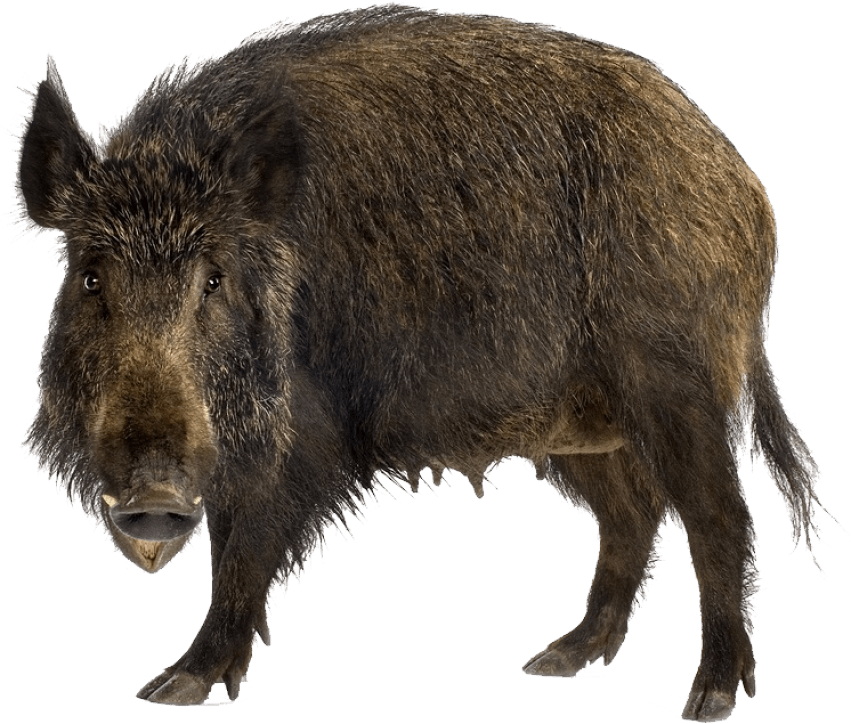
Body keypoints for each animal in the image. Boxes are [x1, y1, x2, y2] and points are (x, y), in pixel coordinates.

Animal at [11, 4, 843, 721]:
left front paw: (172, 689)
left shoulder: (301, 436)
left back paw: (708, 698)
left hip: (675, 381)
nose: (152, 497)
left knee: (716, 515)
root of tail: (744, 189)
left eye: (213, 279)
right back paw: (556, 661)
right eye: (90, 277)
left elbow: (243, 546)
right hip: (578, 422)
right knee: (631, 512)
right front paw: (167, 688)